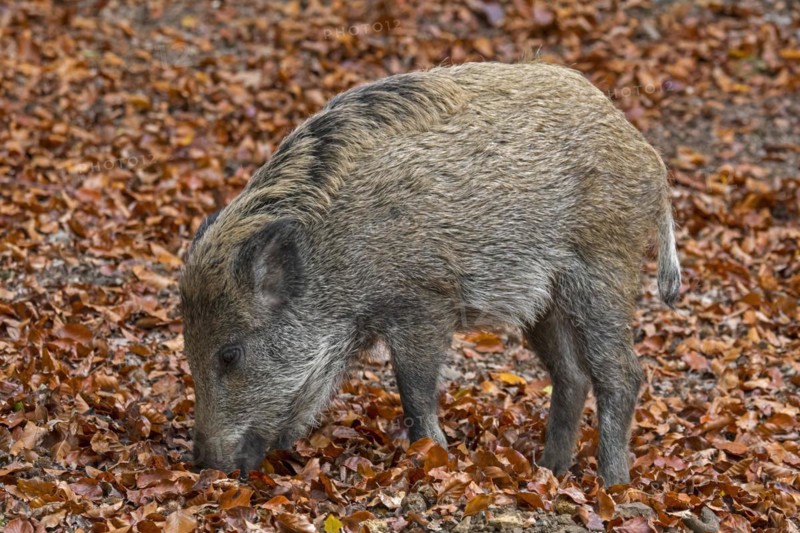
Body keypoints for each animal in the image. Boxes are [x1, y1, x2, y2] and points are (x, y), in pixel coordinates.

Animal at [180, 61, 681, 486]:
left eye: (229, 354)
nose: (204, 465)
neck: (333, 257)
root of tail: (651, 160)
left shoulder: (422, 301)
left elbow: (415, 391)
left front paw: (436, 458)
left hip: (604, 269)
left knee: (621, 374)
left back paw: (613, 486)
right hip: (543, 300)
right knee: (572, 375)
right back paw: (548, 472)